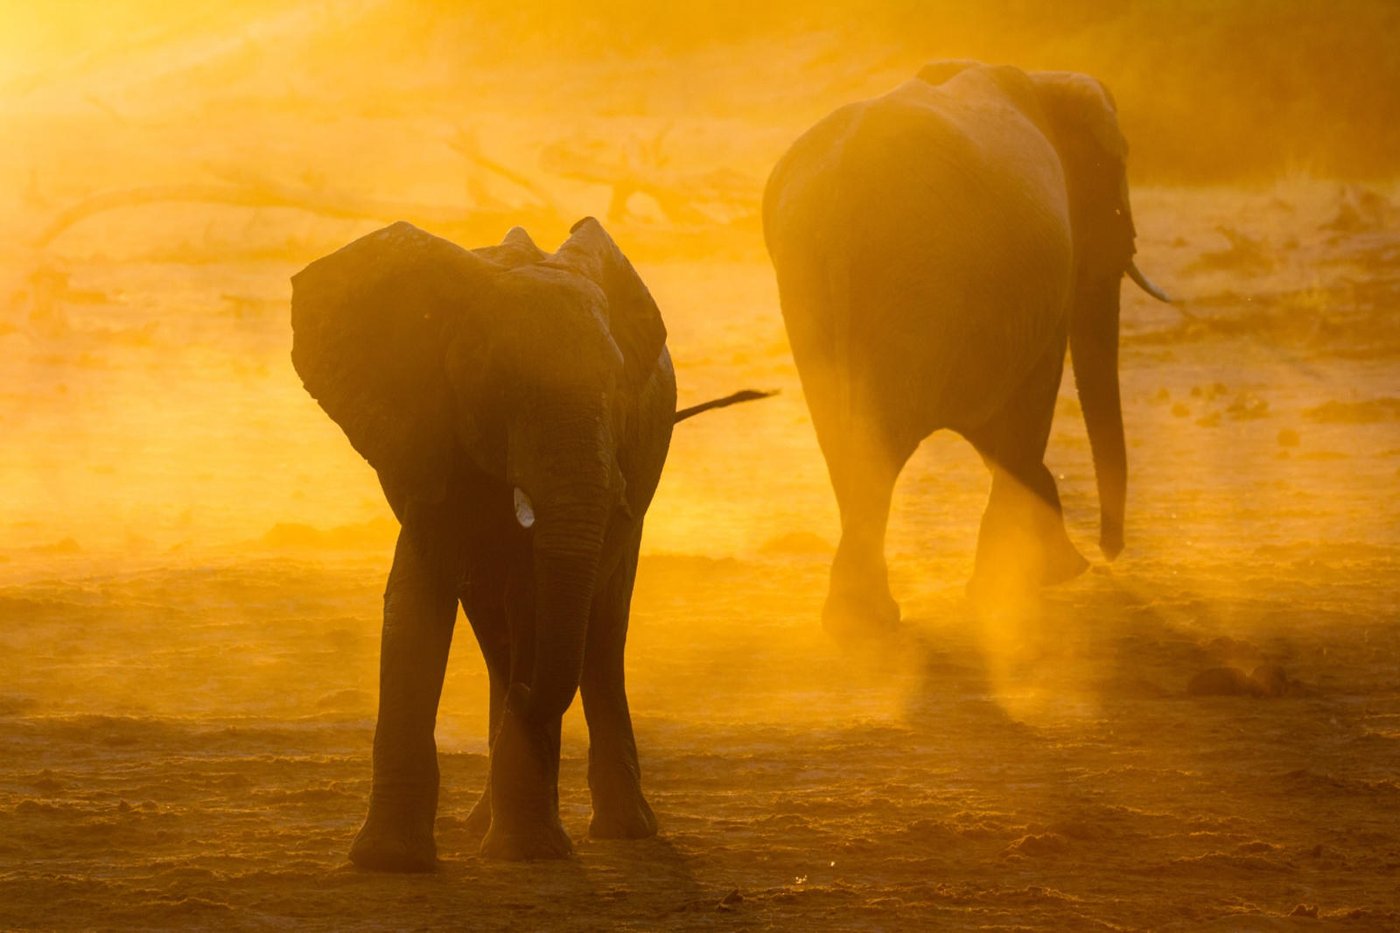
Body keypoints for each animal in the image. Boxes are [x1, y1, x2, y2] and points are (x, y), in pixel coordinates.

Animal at [291, 218, 692, 868]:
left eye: (616, 388)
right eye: (501, 385)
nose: (525, 696)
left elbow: (536, 602)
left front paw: (526, 853)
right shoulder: (428, 427)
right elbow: (415, 594)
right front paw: (388, 862)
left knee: (601, 633)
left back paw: (621, 829)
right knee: (496, 623)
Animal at [762, 60, 1170, 638]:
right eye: (1115, 183)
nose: (1110, 552)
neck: (1044, 82)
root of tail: (840, 188)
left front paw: (1051, 572)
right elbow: (1033, 393)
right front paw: (1017, 584)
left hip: (809, 280)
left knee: (843, 435)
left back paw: (856, 617)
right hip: (911, 277)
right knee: (882, 436)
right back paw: (867, 618)